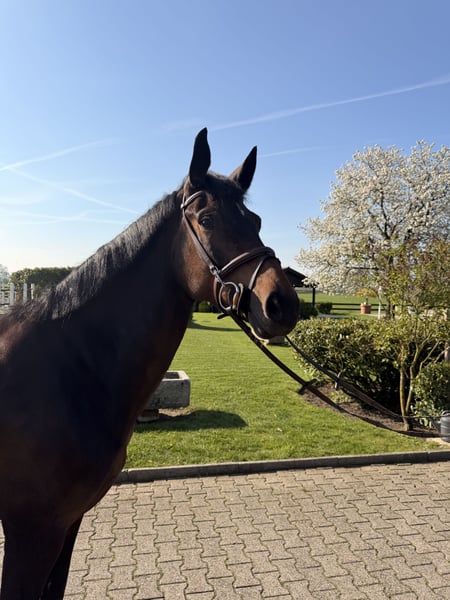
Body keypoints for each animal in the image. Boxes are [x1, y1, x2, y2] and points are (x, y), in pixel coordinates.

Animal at [0, 128, 299, 599]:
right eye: (207, 219)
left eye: (256, 221)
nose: (282, 304)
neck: (67, 369)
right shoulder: (31, 531)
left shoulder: (67, 523)